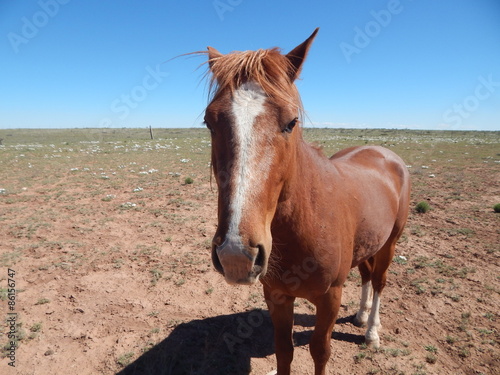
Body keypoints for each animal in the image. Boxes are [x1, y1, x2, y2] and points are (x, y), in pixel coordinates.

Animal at [201, 28, 412, 375]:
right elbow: (284, 351)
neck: (307, 222)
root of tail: (385, 153)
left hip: (390, 243)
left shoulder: (330, 298)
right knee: (367, 275)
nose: (236, 255)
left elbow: (319, 351)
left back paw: (371, 332)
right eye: (209, 121)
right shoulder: (276, 296)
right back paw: (361, 315)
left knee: (380, 280)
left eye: (291, 122)